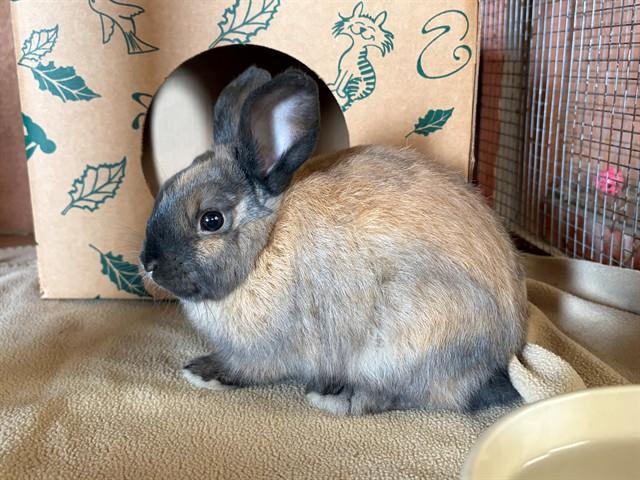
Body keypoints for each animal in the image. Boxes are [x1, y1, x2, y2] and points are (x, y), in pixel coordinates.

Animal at [140, 66, 528, 416]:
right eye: (164, 188)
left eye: (211, 220)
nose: (148, 263)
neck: (264, 247)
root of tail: (502, 351)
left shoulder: (267, 351)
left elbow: (246, 368)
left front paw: (203, 372)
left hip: (404, 344)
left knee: (408, 396)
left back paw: (337, 397)